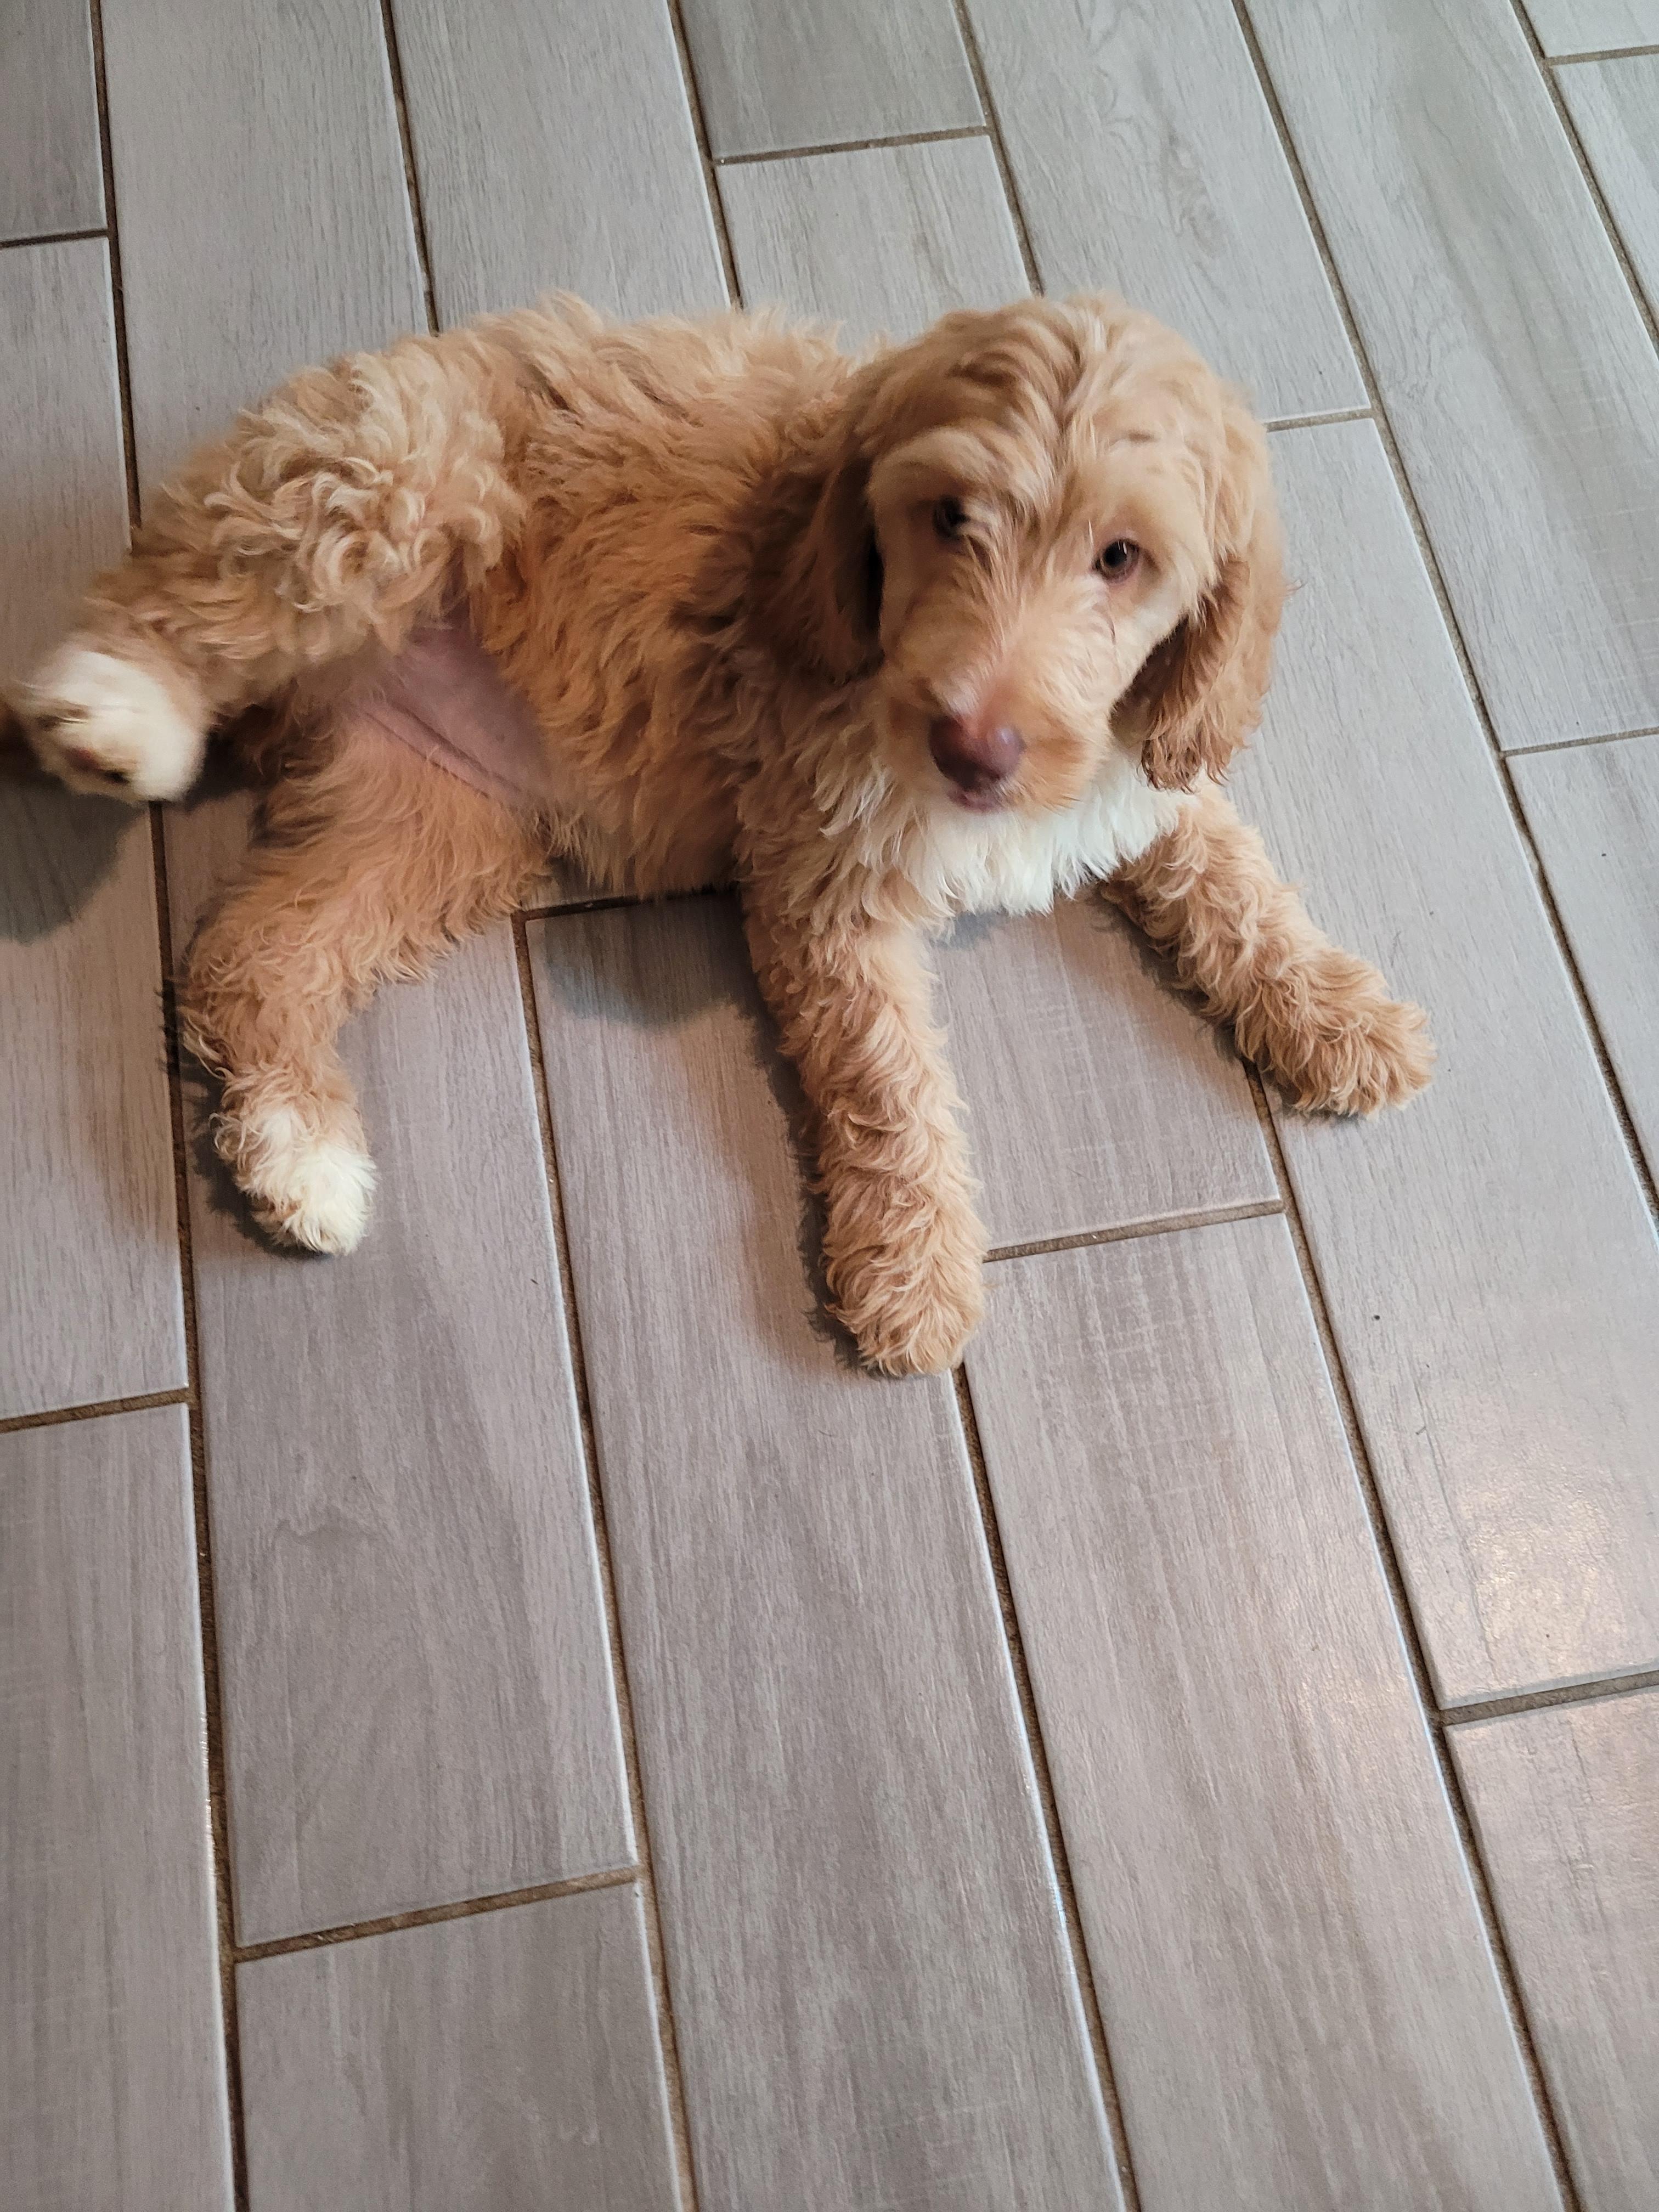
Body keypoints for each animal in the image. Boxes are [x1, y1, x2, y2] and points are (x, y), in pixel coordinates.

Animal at [16, 293, 1431, 1375]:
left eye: (1122, 557)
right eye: (950, 519)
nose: (973, 748)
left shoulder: (1134, 762)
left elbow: (1225, 868)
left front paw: (1342, 1017)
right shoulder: (825, 868)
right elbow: (891, 1078)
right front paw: (916, 1276)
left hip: (423, 818)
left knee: (248, 958)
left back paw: (302, 1155)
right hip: (381, 474)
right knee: (175, 604)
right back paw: (114, 713)